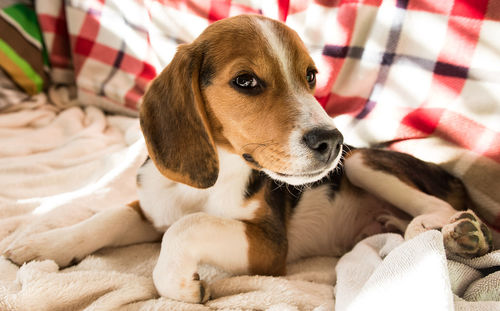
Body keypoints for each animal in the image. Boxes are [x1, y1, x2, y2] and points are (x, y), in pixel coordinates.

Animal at [3, 14, 494, 304]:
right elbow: (104, 218)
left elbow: (186, 228)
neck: (214, 175)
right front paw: (43, 245)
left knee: (441, 206)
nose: (331, 140)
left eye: (310, 76)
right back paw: (429, 233)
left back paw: (444, 231)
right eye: (246, 81)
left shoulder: (270, 247)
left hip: (359, 165)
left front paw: (180, 285)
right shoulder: (152, 208)